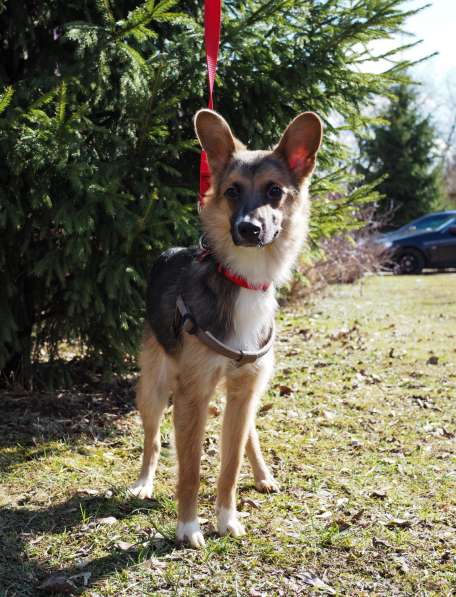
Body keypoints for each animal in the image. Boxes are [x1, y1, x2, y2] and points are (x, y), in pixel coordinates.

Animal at [128, 109, 320, 548]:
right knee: (151, 440)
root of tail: (170, 252)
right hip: (155, 388)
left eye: (274, 191)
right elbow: (191, 469)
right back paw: (145, 483)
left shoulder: (244, 388)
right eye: (232, 191)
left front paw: (226, 518)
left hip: (244, 391)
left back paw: (263, 474)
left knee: (249, 434)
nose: (248, 229)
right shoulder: (192, 395)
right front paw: (188, 527)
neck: (244, 279)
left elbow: (230, 465)